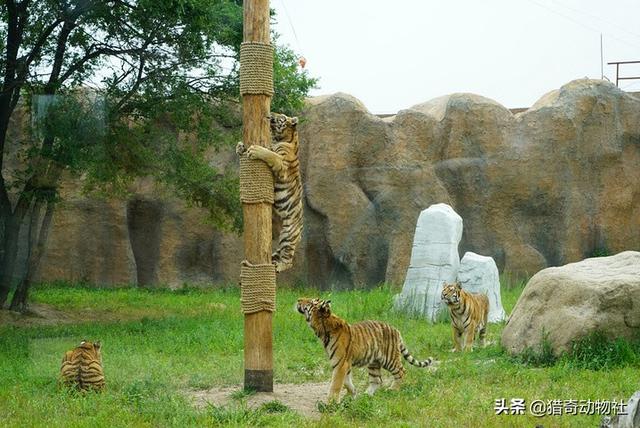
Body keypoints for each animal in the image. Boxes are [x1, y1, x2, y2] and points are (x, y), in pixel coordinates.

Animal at [236, 112, 304, 272]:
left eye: (282, 117)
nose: (270, 114)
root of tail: (301, 230)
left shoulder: (281, 164)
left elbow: (270, 154)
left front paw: (255, 150)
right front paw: (240, 146)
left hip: (288, 233)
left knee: (288, 258)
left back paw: (278, 266)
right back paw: (272, 261)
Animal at [296, 298, 436, 402]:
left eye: (310, 302)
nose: (298, 299)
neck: (322, 329)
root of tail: (396, 330)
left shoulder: (340, 364)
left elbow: (336, 384)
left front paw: (331, 403)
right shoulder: (344, 364)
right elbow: (347, 382)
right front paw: (352, 394)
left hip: (389, 359)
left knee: (401, 371)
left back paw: (392, 390)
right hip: (374, 362)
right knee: (377, 380)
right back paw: (366, 395)